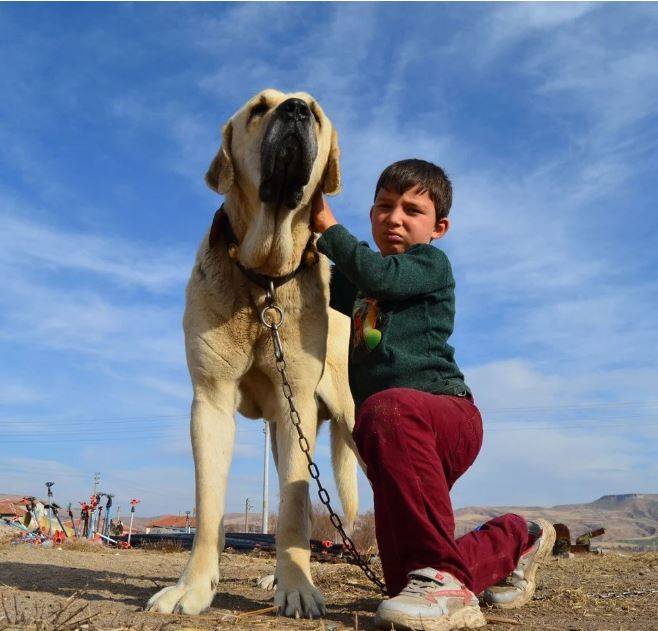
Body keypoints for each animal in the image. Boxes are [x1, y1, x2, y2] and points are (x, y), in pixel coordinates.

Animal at [146, 91, 356, 620]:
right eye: (260, 108)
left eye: (315, 113)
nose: (296, 109)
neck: (264, 279)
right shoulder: (211, 402)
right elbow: (209, 508)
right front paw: (193, 587)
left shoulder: (293, 397)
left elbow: (293, 513)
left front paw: (298, 588)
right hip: (286, 435)